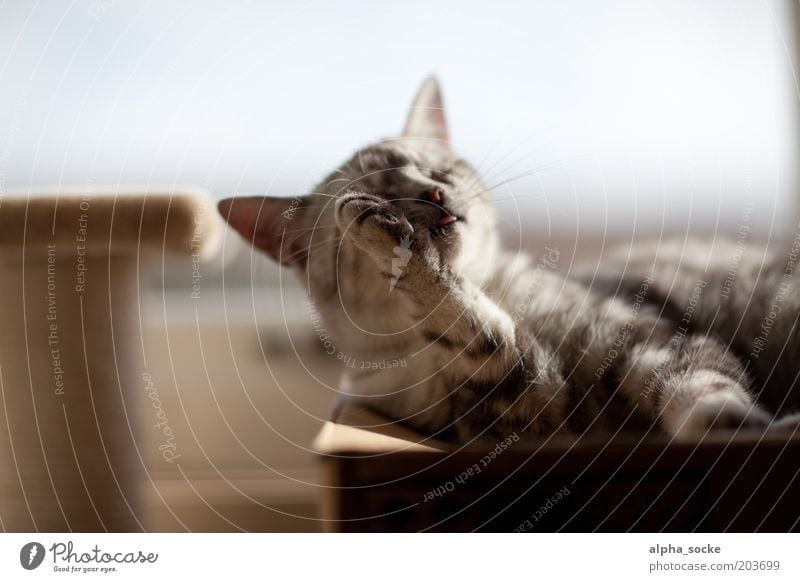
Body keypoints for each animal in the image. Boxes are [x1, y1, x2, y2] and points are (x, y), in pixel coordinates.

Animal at [219, 78, 800, 448]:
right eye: (383, 190)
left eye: (436, 170)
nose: (433, 195)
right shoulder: (527, 400)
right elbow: (475, 324)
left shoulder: (646, 336)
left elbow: (705, 393)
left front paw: (755, 424)